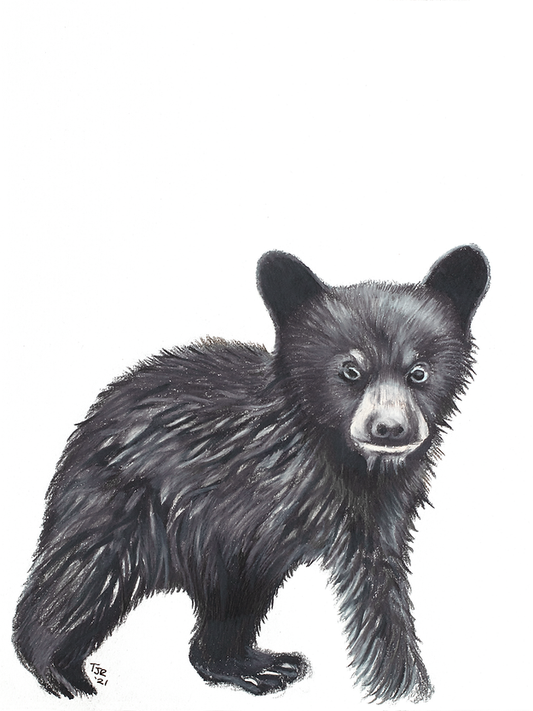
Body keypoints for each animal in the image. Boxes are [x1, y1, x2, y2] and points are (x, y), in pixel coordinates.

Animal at [13, 245, 489, 703]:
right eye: (350, 370)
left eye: (419, 372)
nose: (389, 428)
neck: (342, 457)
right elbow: (374, 592)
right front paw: (402, 681)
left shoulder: (385, 504)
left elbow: (385, 570)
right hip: (125, 506)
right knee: (83, 578)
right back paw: (58, 669)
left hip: (231, 548)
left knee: (232, 605)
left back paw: (254, 666)